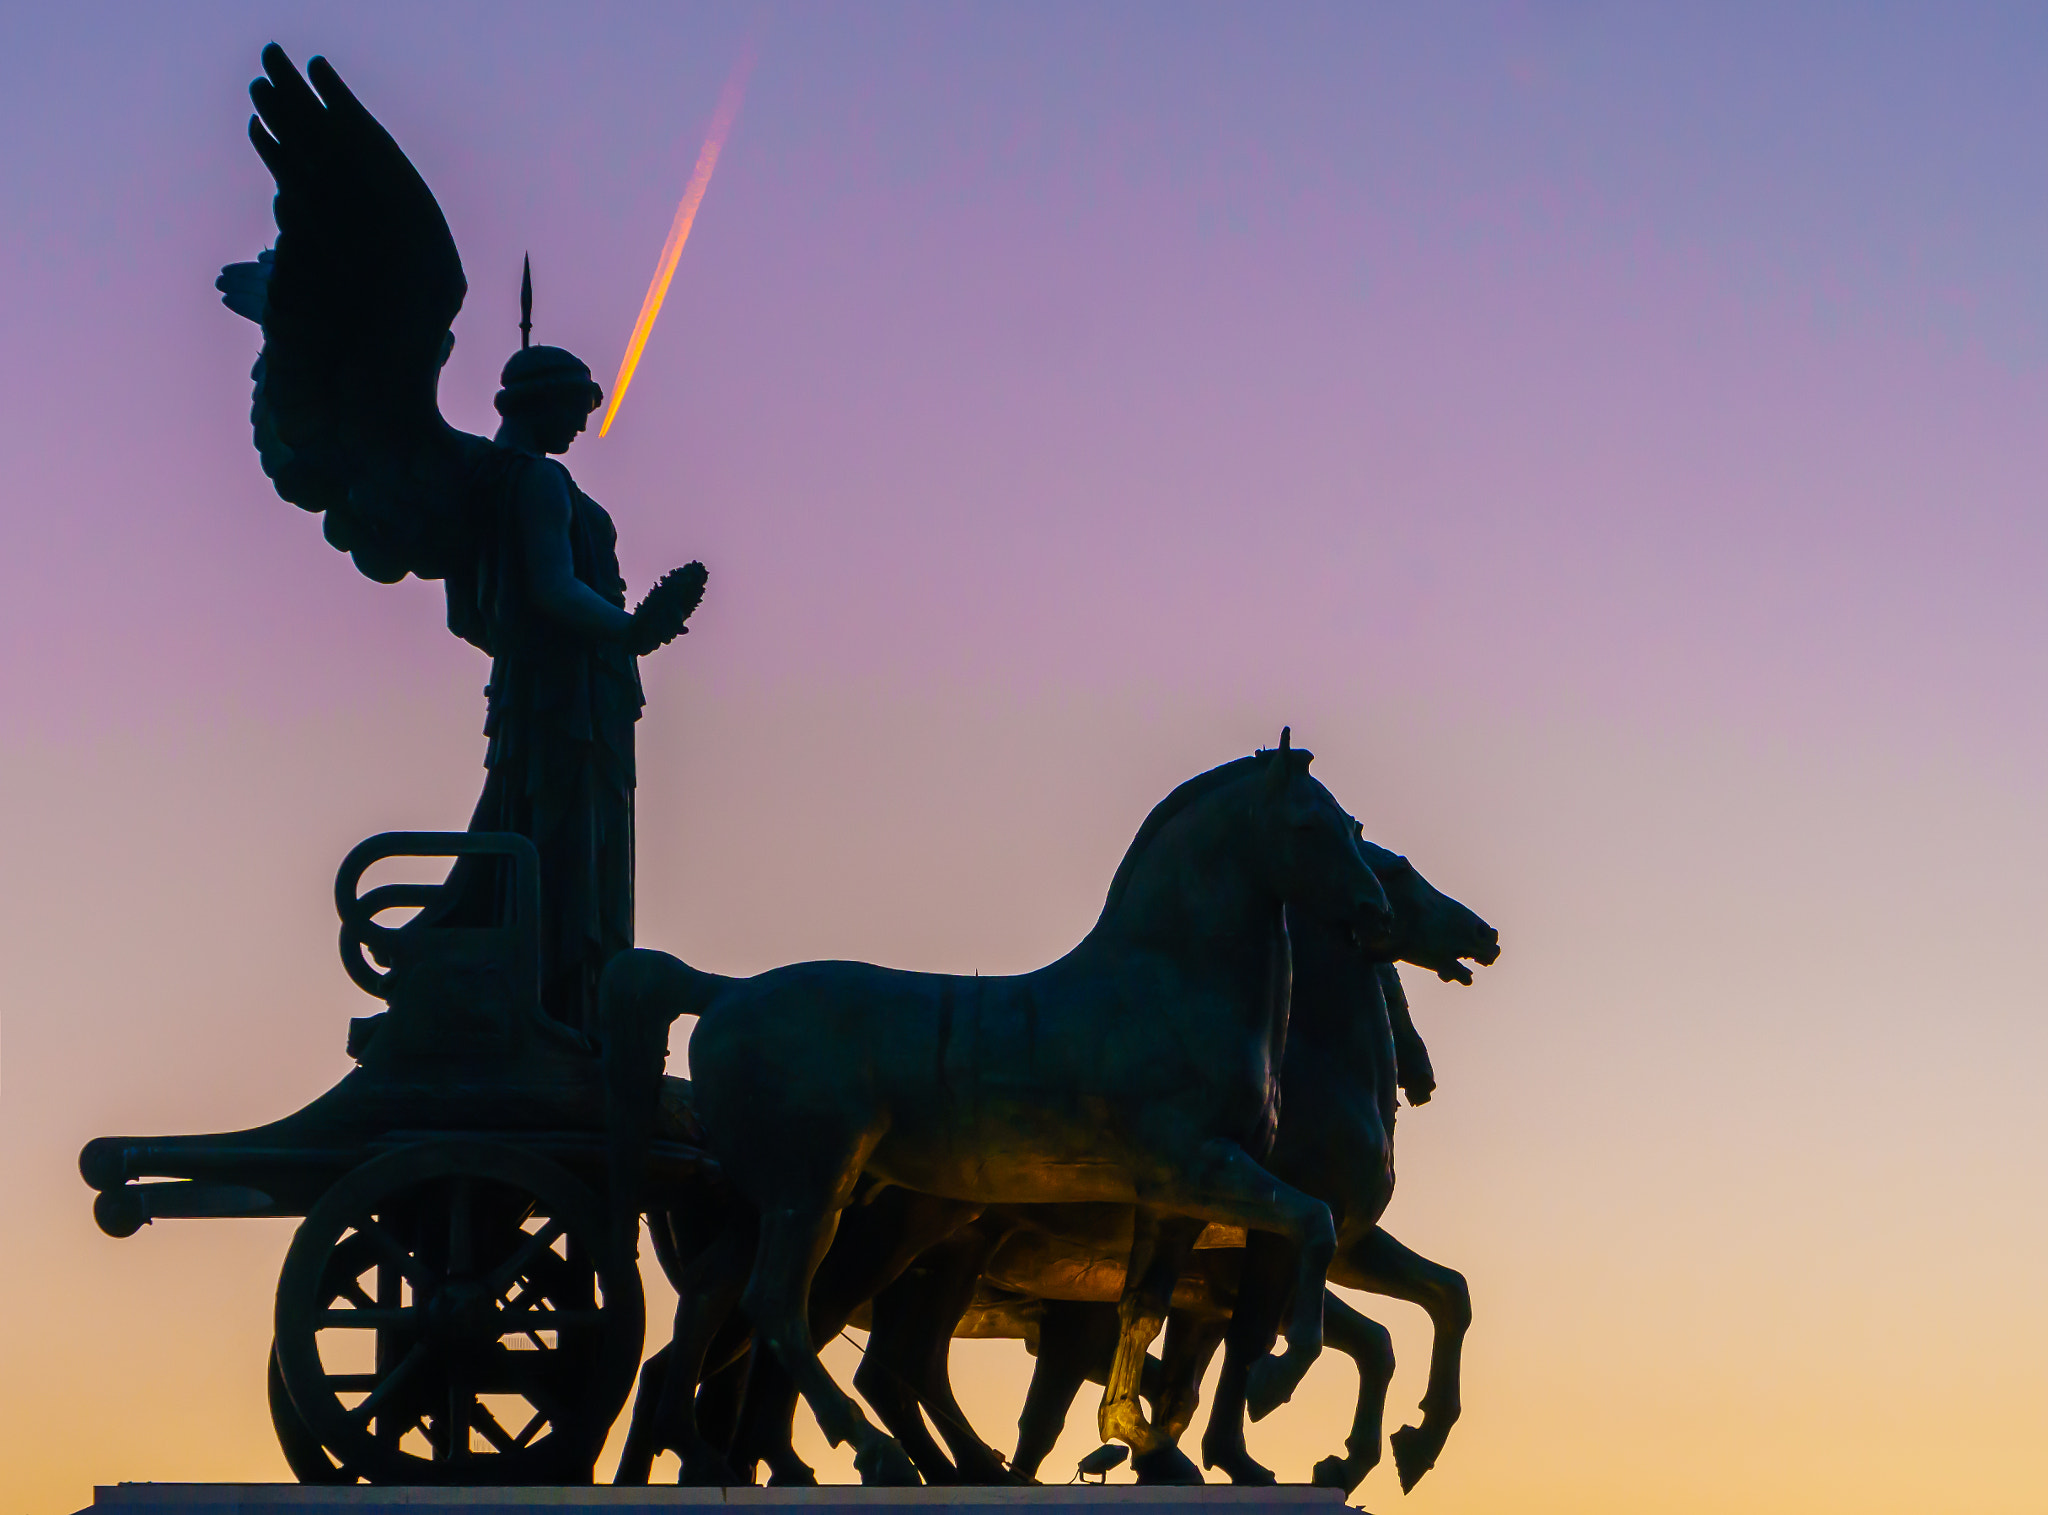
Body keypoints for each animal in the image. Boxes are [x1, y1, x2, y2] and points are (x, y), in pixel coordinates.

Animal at [598, 741, 1392, 1482]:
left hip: (789, 1206)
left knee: (714, 1301)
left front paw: (1135, 1433)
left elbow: (1143, 1309)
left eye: (1350, 825)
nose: (1375, 911)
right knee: (777, 1309)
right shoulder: (1199, 1167)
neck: (1166, 986)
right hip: (814, 1196)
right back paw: (875, 1453)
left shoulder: (1174, 1204)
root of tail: (723, 991)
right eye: (1309, 824)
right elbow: (1314, 1222)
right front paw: (1271, 1383)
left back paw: (702, 1451)